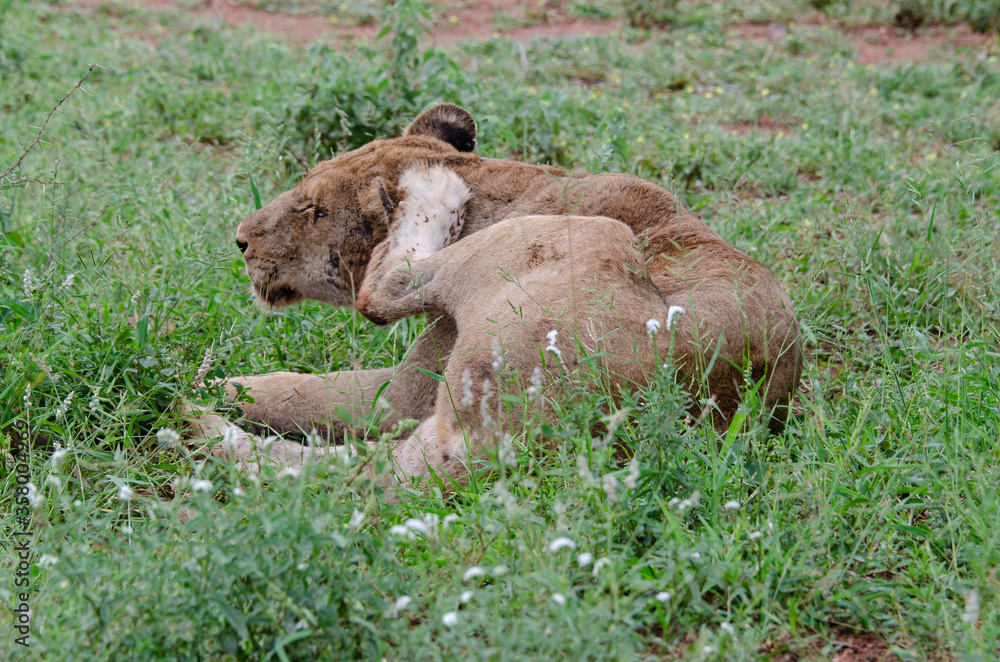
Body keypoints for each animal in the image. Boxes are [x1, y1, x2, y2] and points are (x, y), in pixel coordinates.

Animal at [196, 104, 801, 484]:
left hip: (566, 240)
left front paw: (219, 386)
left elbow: (301, 391)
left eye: (314, 210)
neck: (493, 183)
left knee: (382, 298)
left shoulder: (403, 396)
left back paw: (431, 190)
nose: (241, 240)